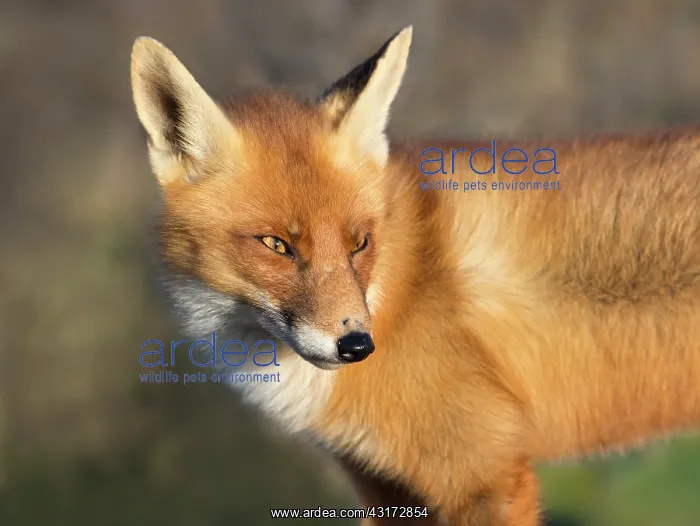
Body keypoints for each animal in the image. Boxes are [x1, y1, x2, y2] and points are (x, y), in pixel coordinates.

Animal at [130, 26, 700, 526]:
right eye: (276, 245)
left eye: (359, 243)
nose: (357, 345)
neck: (397, 290)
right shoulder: (386, 489)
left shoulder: (484, 471)